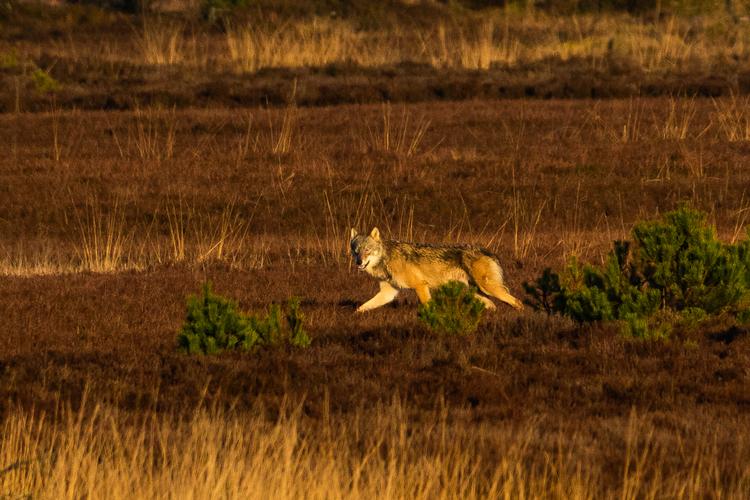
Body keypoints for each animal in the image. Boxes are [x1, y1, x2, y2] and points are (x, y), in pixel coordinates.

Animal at [349, 227, 524, 313]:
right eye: (356, 251)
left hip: (488, 288)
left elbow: (427, 306)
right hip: (477, 292)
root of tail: (487, 251)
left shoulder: (420, 285)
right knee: (493, 305)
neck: (386, 259)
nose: (359, 262)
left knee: (517, 302)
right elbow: (362, 308)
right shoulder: (388, 293)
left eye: (367, 250)